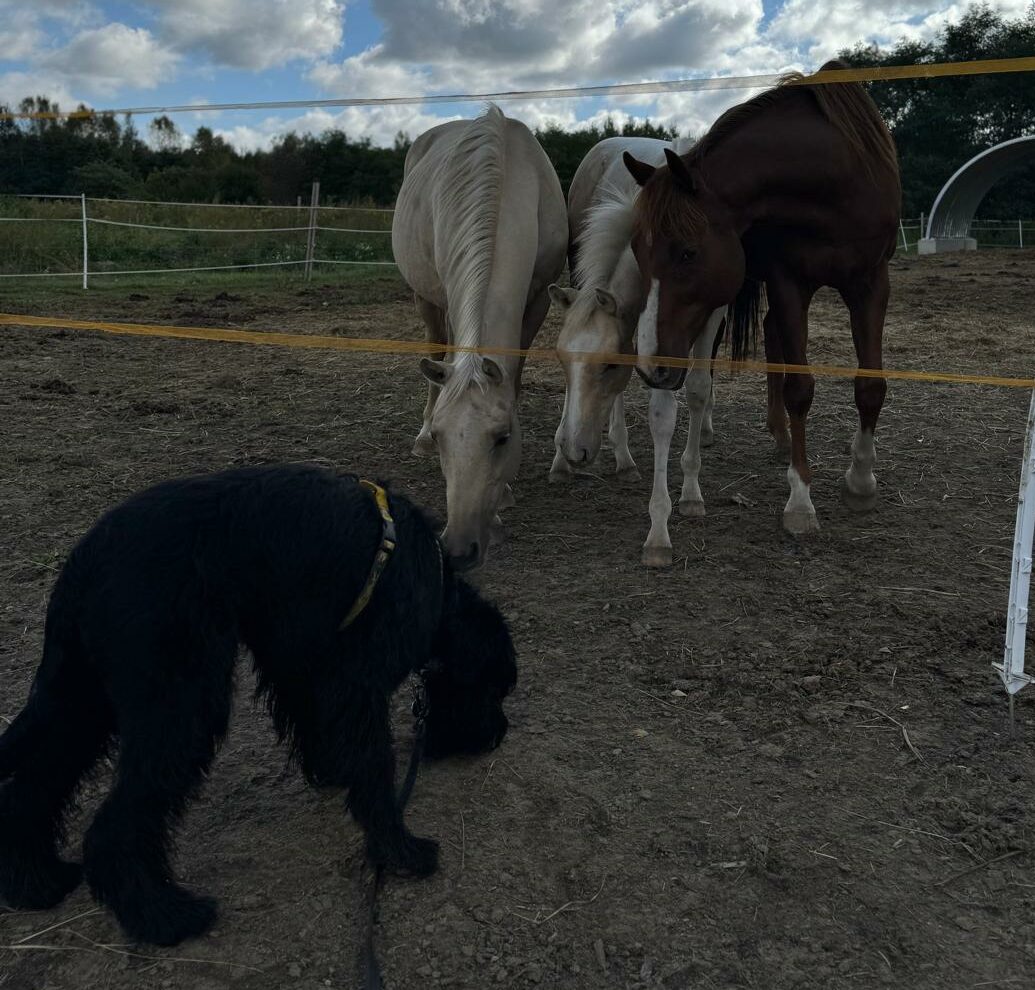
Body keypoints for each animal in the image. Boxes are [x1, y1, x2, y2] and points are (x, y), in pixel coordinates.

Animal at [0, 463, 517, 943]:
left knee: (34, 785)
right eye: (494, 688)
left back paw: (35, 881)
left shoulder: (297, 661)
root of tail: (82, 564)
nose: (497, 734)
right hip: (181, 705)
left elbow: (315, 725)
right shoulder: (357, 683)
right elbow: (374, 768)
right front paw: (400, 849)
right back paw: (165, 918)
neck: (434, 583)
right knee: (114, 823)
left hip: (80, 700)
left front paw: (333, 771)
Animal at [391, 103, 567, 566]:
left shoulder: (538, 301)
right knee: (439, 347)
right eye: (442, 436)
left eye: (502, 438)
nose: (456, 548)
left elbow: (516, 375)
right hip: (427, 298)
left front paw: (504, 492)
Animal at [546, 139, 724, 571]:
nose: (576, 451)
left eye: (610, 364)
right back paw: (617, 457)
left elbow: (693, 393)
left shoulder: (708, 319)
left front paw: (682, 503)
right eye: (559, 360)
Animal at [621, 61, 898, 533]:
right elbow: (799, 388)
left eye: (688, 251)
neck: (836, 179)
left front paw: (861, 480)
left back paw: (780, 436)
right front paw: (801, 500)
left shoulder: (871, 282)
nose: (651, 365)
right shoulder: (789, 282)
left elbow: (870, 384)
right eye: (637, 249)